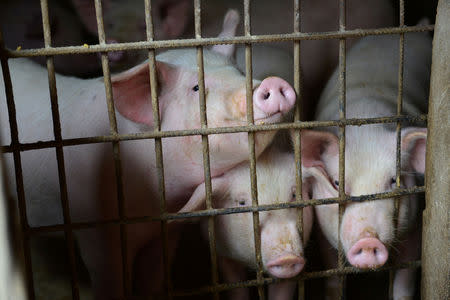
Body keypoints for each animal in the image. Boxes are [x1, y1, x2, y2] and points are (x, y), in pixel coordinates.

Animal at [0, 10, 298, 298]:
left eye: (239, 71)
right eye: (195, 88)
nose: (271, 82)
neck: (155, 203)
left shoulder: (167, 232)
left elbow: (154, 278)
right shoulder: (97, 232)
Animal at [292, 29, 432, 298]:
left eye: (394, 180)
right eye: (337, 183)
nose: (368, 241)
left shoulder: (415, 224)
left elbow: (405, 280)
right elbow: (334, 276)